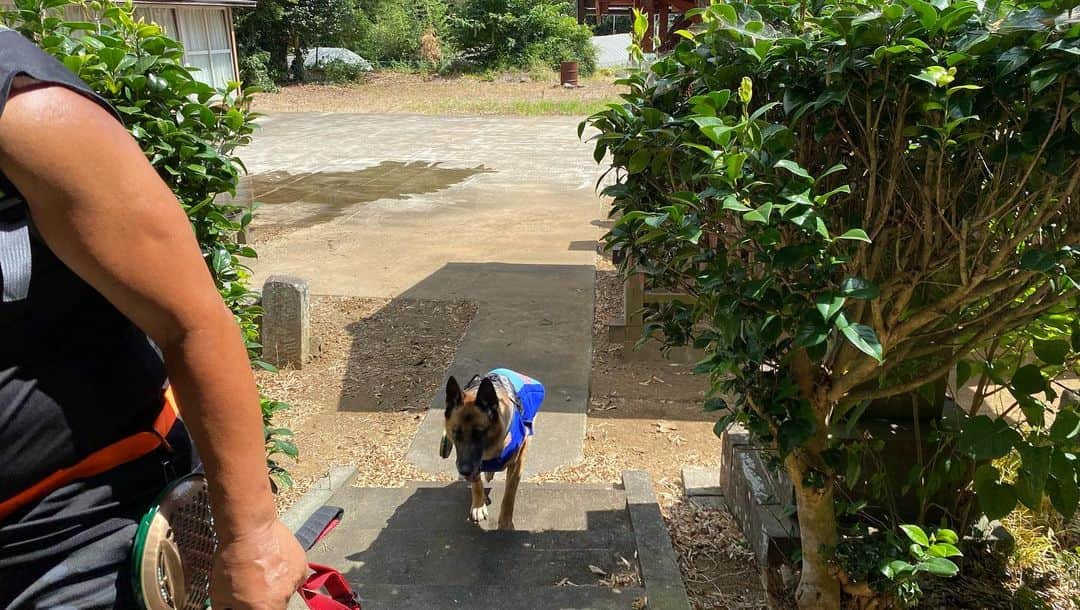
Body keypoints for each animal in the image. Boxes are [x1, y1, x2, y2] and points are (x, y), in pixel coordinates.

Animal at [442, 371, 535, 529]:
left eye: (479, 432)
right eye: (455, 433)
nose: (464, 471)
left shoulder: (517, 462)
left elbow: (509, 493)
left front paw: (505, 520)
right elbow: (476, 482)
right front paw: (478, 504)